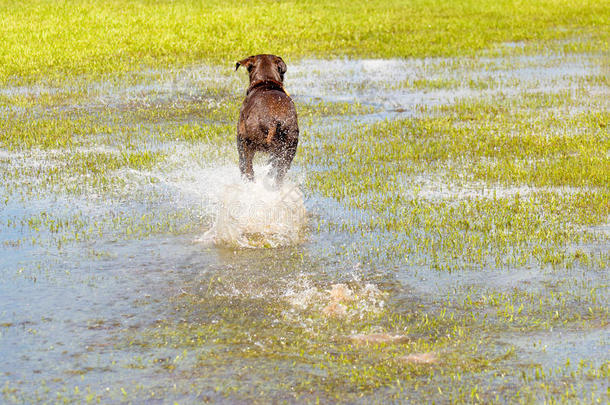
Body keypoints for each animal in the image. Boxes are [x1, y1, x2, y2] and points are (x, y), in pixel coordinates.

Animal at [234, 53, 298, 185]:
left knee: (249, 170)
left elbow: (242, 164)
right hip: (289, 148)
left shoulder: (240, 138)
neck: (266, 81)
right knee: (279, 175)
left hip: (248, 143)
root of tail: (274, 120)